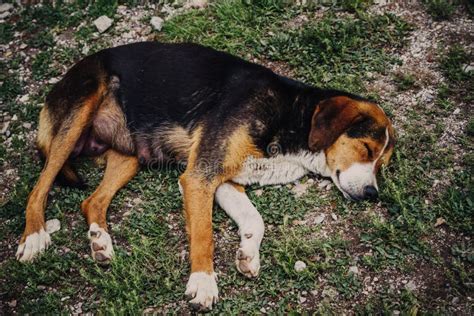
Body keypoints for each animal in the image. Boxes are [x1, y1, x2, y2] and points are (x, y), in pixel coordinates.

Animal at [16, 42, 394, 312]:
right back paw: (34, 238)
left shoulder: (226, 181)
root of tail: (69, 72)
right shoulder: (199, 177)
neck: (291, 116)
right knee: (40, 186)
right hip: (76, 116)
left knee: (91, 200)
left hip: (129, 156)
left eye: (382, 165)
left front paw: (248, 254)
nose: (373, 193)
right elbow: (204, 237)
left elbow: (255, 220)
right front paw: (203, 283)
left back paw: (100, 241)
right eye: (365, 149)